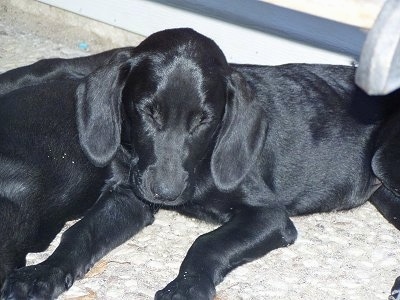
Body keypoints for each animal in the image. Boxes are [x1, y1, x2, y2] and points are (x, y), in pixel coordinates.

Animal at [0, 28, 400, 300]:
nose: (165, 193)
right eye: (148, 112)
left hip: (384, 163)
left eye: (203, 121)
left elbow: (206, 243)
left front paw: (186, 288)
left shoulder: (268, 215)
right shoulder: (129, 198)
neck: (203, 161)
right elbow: (79, 234)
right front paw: (41, 274)